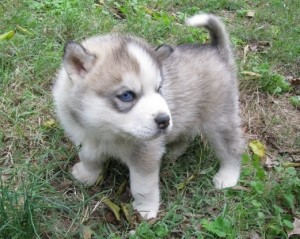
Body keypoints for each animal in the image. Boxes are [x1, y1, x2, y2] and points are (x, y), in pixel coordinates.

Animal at [52, 12, 245, 218]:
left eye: (159, 88)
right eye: (127, 95)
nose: (164, 120)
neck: (103, 131)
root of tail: (215, 50)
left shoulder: (145, 155)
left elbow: (142, 187)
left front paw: (145, 210)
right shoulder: (84, 137)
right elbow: (89, 158)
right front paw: (86, 175)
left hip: (219, 120)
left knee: (232, 149)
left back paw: (227, 177)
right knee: (185, 136)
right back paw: (173, 152)